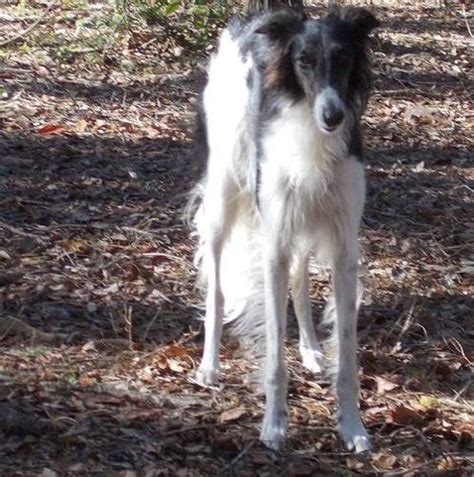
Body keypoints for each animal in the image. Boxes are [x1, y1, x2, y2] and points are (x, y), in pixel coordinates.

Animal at [191, 8, 380, 454]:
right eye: (304, 61)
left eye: (343, 56)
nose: (333, 116)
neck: (310, 129)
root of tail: (251, 21)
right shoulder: (274, 243)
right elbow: (276, 357)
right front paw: (274, 426)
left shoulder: (344, 247)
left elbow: (347, 357)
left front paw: (353, 428)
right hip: (224, 195)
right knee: (217, 289)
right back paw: (209, 365)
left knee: (300, 278)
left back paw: (310, 349)